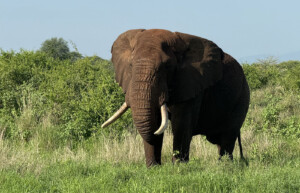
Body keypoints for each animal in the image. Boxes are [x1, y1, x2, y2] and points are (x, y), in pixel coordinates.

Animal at [102, 29, 250, 167]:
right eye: (131, 65)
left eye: (167, 66)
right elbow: (155, 120)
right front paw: (153, 168)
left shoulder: (192, 82)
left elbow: (181, 124)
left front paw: (178, 167)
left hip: (242, 97)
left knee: (227, 137)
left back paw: (225, 165)